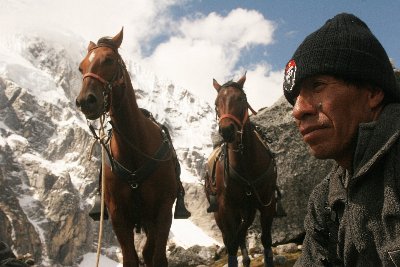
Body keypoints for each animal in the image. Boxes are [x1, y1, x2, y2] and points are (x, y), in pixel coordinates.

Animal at [75, 29, 189, 267]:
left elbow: (158, 258)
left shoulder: (163, 211)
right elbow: (130, 259)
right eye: (81, 67)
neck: (135, 149)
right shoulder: (118, 215)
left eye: (109, 60)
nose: (86, 101)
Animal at [205, 74, 276, 267]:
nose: (227, 130)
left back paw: (245, 258)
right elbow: (231, 244)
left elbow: (266, 239)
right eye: (216, 103)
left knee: (242, 232)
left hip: (247, 210)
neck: (246, 163)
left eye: (241, 99)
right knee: (231, 237)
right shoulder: (226, 207)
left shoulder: (267, 202)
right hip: (220, 213)